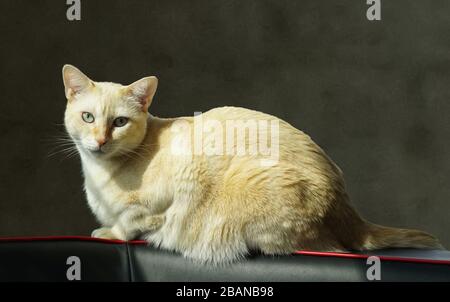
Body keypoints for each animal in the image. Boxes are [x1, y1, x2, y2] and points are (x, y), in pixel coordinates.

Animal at [60, 64, 442, 264]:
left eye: (119, 122)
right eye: (88, 117)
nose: (100, 141)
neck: (99, 176)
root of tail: (348, 208)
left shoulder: (155, 206)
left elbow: (127, 228)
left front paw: (107, 233)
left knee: (332, 249)